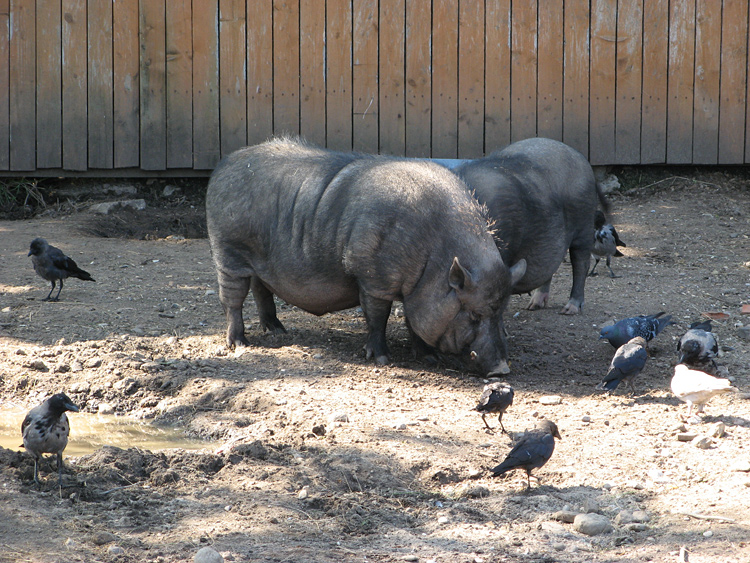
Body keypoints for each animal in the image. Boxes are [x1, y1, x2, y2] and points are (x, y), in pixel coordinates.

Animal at [203, 139, 524, 378]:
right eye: (473, 314)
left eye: (501, 313)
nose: (502, 370)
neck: (433, 258)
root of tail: (224, 164)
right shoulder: (372, 277)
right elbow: (377, 317)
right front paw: (381, 358)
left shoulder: (412, 290)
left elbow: (413, 320)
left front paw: (429, 358)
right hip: (227, 249)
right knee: (232, 298)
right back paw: (239, 343)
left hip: (259, 261)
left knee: (261, 288)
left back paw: (277, 330)